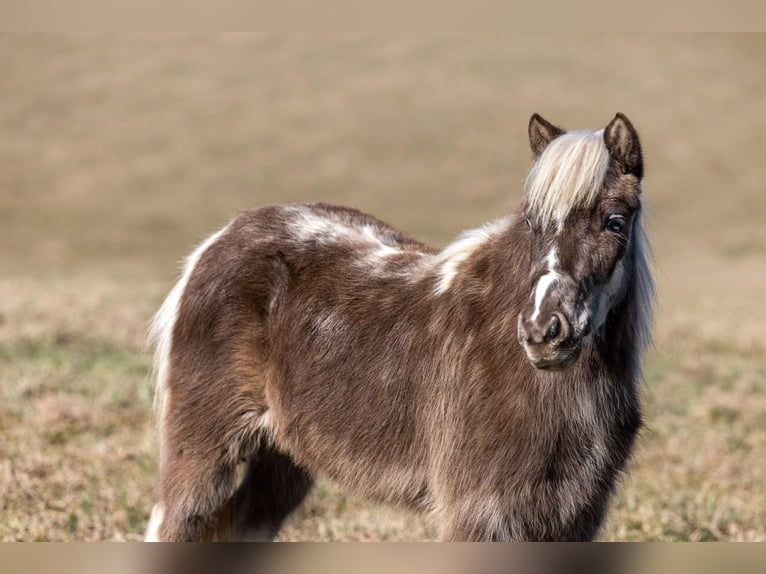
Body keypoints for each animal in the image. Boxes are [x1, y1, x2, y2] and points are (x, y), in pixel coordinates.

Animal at [144, 113, 654, 542]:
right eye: (532, 222)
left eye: (614, 221)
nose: (543, 332)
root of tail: (221, 238)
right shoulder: (479, 515)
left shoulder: (573, 517)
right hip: (203, 454)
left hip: (280, 462)